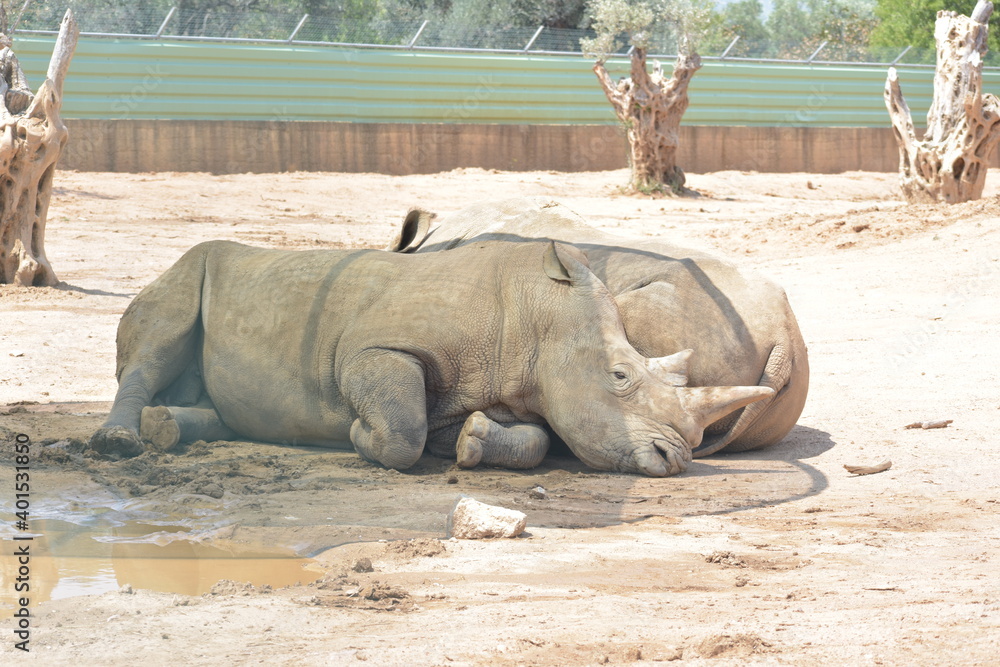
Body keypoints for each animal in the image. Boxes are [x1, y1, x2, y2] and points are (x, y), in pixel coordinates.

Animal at [89, 239, 773, 477]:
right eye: (620, 375)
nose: (677, 458)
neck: (539, 314)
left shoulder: (496, 384)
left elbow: (530, 441)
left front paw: (471, 446)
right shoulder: (372, 350)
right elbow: (401, 430)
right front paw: (355, 437)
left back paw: (168, 428)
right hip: (186, 268)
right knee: (156, 342)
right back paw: (121, 443)